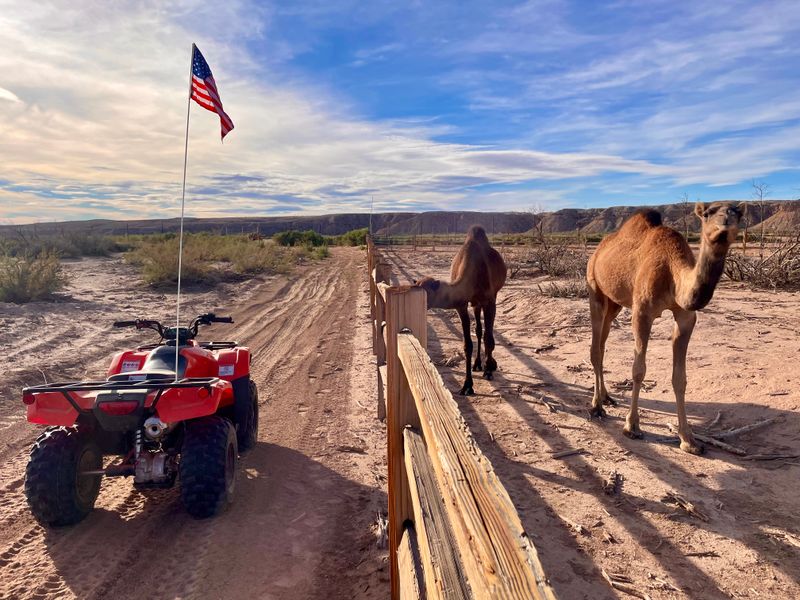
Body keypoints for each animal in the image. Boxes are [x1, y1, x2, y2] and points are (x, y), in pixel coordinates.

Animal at [415, 225, 507, 395]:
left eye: (425, 293)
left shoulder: (490, 301)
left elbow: (489, 338)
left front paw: (489, 370)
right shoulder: (462, 306)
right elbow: (467, 345)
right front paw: (467, 385)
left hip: (491, 297)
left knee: (486, 333)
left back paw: (489, 365)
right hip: (476, 304)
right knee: (478, 330)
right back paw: (478, 364)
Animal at [587, 201, 743, 454]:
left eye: (738, 214)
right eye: (707, 213)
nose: (725, 224)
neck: (673, 273)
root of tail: (597, 252)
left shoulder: (686, 317)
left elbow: (680, 378)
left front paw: (689, 440)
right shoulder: (642, 312)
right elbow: (638, 370)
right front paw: (632, 427)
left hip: (615, 303)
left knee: (602, 342)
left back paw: (607, 397)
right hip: (595, 290)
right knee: (595, 349)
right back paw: (597, 405)